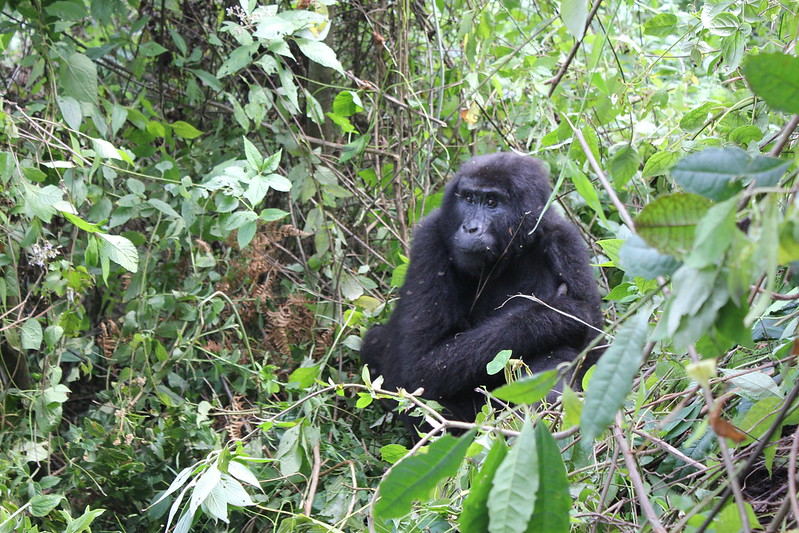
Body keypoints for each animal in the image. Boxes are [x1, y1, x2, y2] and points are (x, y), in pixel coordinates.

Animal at [360, 152, 604, 422]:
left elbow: (593, 358)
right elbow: (422, 365)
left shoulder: (566, 242)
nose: (470, 228)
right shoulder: (430, 239)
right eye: (468, 198)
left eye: (491, 202)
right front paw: (558, 314)